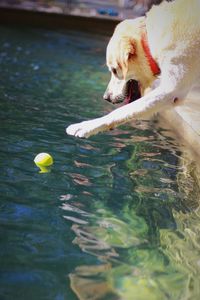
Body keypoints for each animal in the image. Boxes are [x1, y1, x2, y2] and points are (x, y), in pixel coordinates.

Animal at [67, 0, 200, 138]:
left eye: (114, 70)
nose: (106, 97)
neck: (150, 41)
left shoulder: (171, 90)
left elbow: (122, 110)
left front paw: (87, 126)